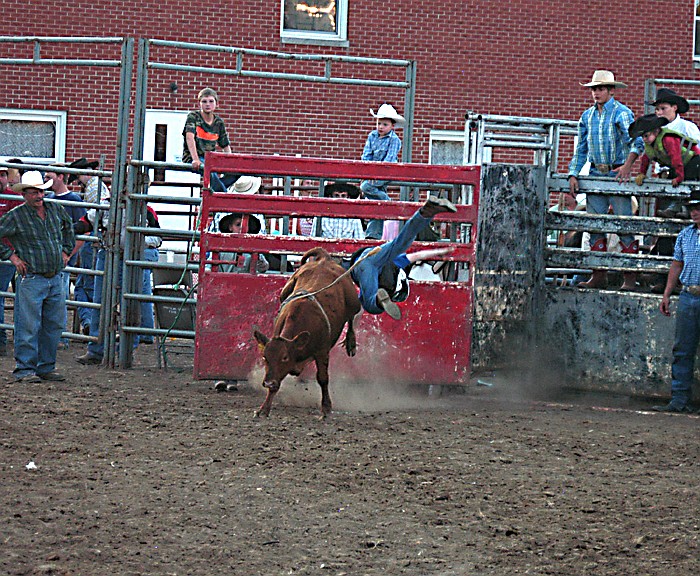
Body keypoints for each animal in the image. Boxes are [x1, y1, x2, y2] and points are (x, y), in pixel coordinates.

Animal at [252, 245, 360, 416]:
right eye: (265, 357)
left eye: (284, 357)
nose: (267, 383)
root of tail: (324, 259)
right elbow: (276, 384)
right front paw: (264, 409)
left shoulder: (322, 351)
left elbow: (323, 378)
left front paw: (326, 408)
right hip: (285, 290)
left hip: (354, 301)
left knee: (351, 316)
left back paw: (351, 342)